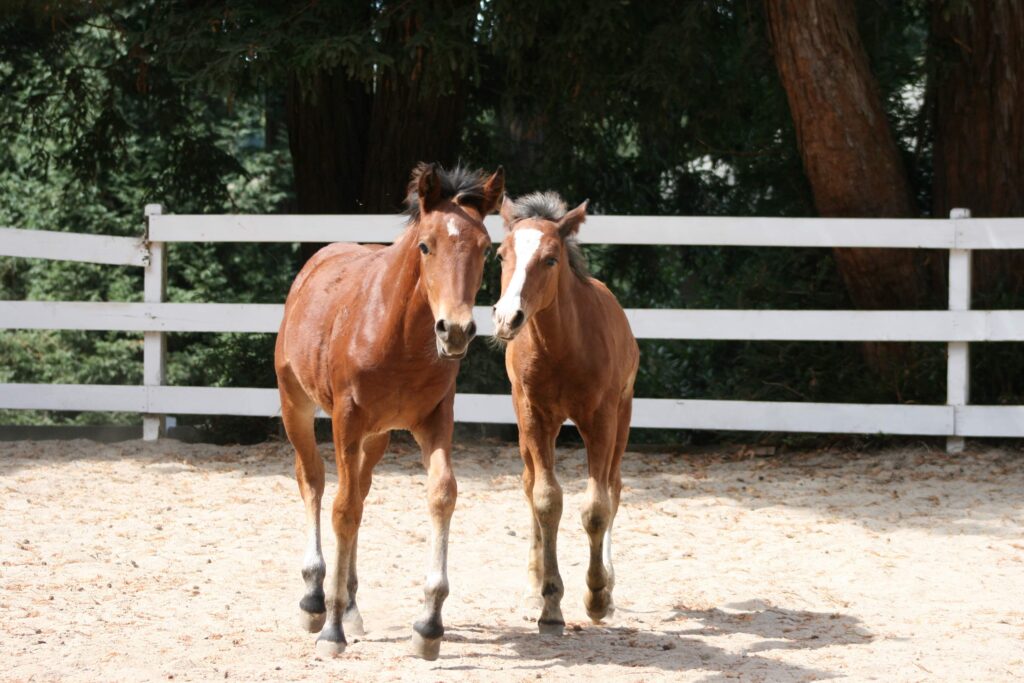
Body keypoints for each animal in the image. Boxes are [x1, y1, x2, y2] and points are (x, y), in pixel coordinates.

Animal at [276, 162, 503, 659]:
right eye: (426, 245)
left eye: (486, 249)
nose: (456, 330)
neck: (398, 335)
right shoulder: (346, 419)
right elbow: (341, 508)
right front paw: (331, 629)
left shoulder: (434, 419)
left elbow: (441, 494)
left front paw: (429, 625)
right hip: (295, 405)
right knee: (314, 481)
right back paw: (314, 598)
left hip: (377, 436)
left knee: (359, 491)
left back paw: (352, 603)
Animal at [489, 192, 634, 634]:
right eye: (501, 255)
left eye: (551, 259)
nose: (507, 318)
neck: (562, 347)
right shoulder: (534, 418)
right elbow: (546, 499)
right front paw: (549, 602)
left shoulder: (601, 421)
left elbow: (597, 507)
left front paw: (597, 596)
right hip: (530, 428)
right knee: (529, 484)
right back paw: (532, 589)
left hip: (622, 418)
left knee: (614, 487)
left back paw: (608, 587)